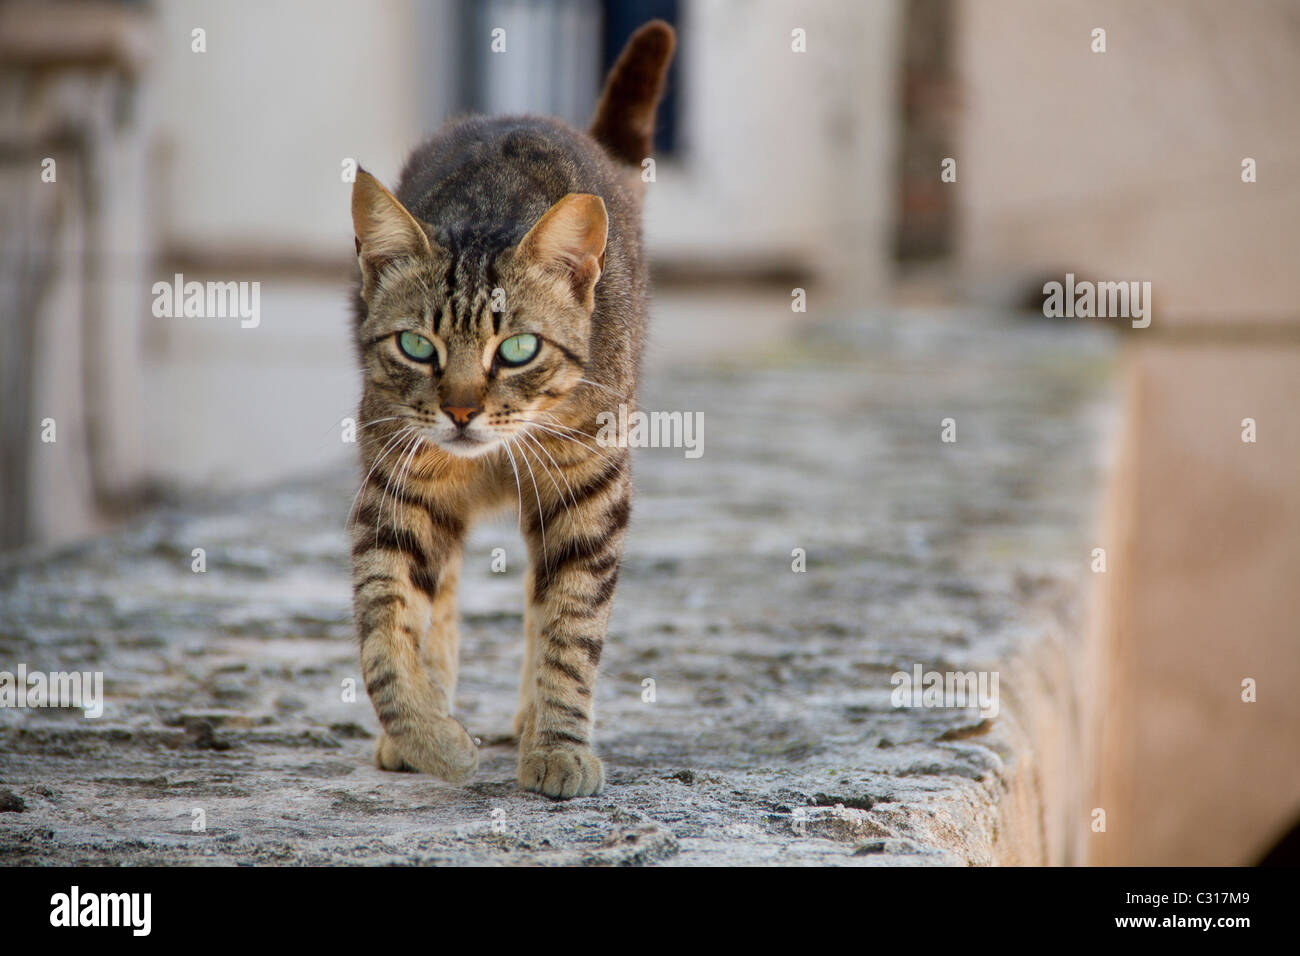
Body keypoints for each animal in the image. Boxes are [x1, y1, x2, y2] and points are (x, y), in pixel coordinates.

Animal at [345, 22, 676, 801]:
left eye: (519, 348)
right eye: (416, 345)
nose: (462, 410)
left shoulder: (590, 492)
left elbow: (569, 629)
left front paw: (557, 743)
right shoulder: (396, 485)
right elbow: (385, 627)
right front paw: (429, 736)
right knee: (441, 597)